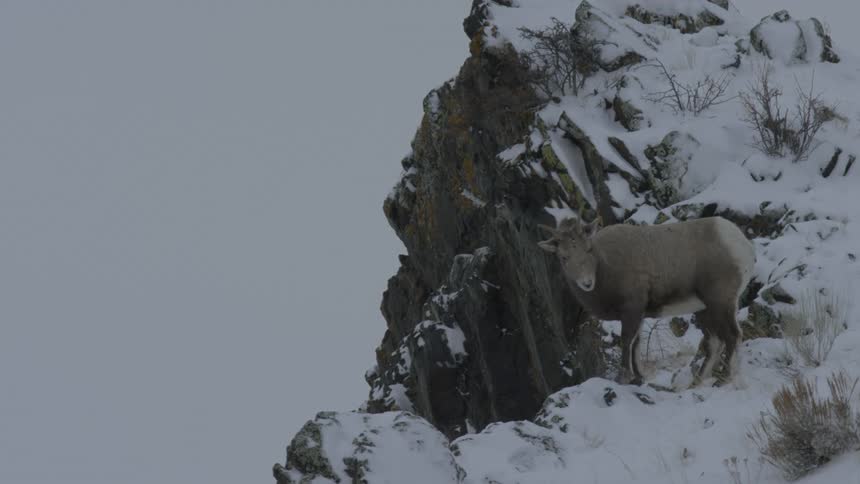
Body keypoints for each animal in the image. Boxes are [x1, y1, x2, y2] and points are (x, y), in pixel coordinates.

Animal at [538, 216, 755, 386]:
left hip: (721, 304)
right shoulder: (639, 314)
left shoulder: (631, 309)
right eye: (564, 257)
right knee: (715, 343)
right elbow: (637, 343)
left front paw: (624, 378)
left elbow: (627, 340)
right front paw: (638, 378)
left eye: (589, 249)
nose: (587, 283)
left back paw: (724, 380)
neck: (605, 265)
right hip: (704, 310)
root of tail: (741, 245)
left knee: (732, 336)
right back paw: (697, 382)